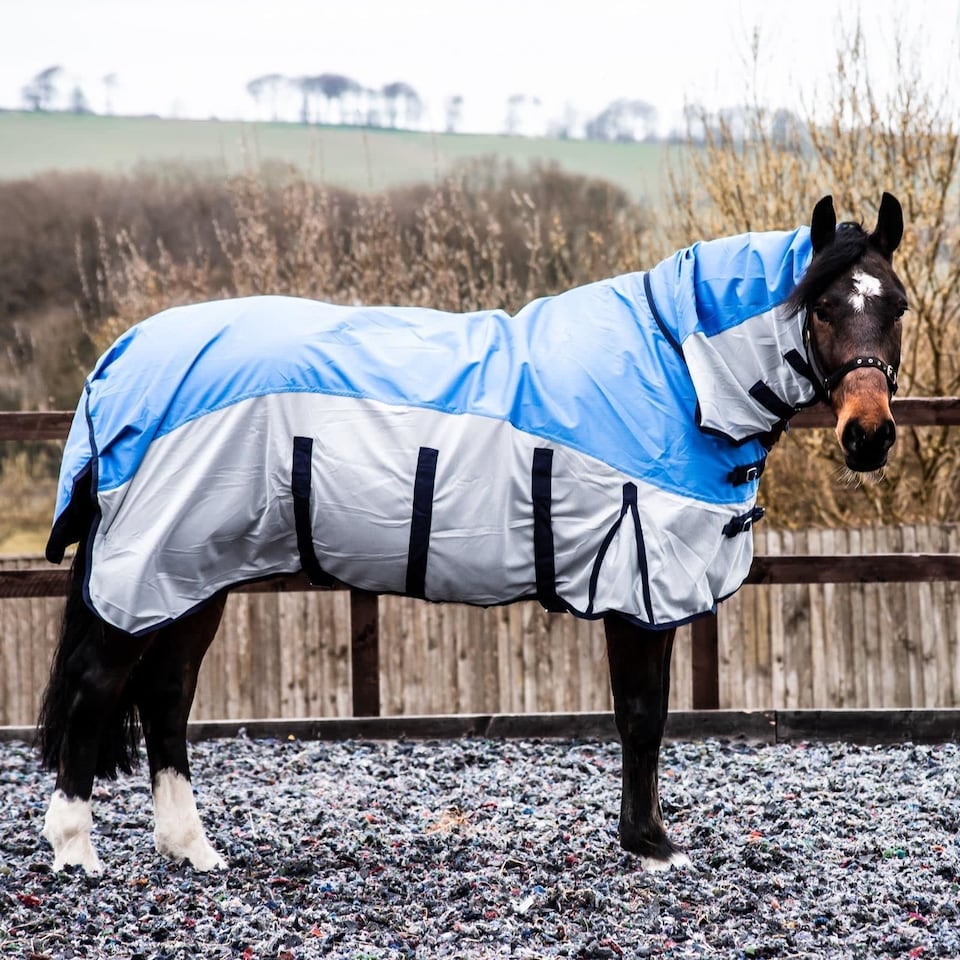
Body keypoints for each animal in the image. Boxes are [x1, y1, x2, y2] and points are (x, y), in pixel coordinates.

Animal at [36, 192, 906, 876]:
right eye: (821, 306)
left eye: (895, 305)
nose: (869, 436)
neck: (676, 371)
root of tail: (119, 362)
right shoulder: (637, 587)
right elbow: (642, 714)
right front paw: (652, 844)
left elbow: (644, 714)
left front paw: (646, 839)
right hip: (149, 566)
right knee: (98, 686)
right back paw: (77, 850)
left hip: (193, 575)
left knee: (166, 695)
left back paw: (192, 848)